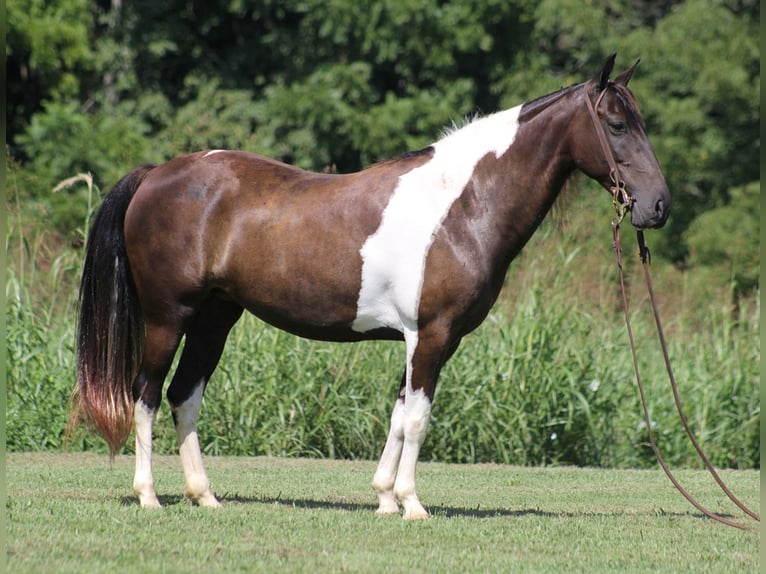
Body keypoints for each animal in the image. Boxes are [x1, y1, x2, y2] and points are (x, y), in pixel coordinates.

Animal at [72, 56, 672, 520]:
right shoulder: (431, 335)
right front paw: (412, 503)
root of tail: (157, 174)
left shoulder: (425, 340)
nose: (658, 206)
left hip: (215, 319)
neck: (462, 206)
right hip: (168, 317)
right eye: (616, 125)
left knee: (184, 395)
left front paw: (384, 498)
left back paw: (205, 496)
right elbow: (418, 418)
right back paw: (149, 496)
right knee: (146, 394)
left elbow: (399, 414)